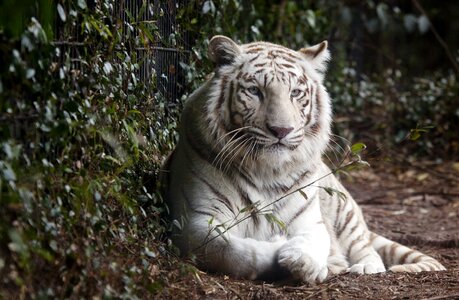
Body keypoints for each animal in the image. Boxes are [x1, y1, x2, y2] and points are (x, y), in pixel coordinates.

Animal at [164, 35, 448, 284]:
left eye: (295, 93)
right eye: (254, 91)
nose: (281, 130)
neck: (264, 171)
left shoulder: (312, 221)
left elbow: (312, 241)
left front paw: (304, 262)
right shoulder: (197, 222)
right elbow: (234, 251)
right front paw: (279, 247)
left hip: (345, 212)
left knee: (367, 249)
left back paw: (362, 267)